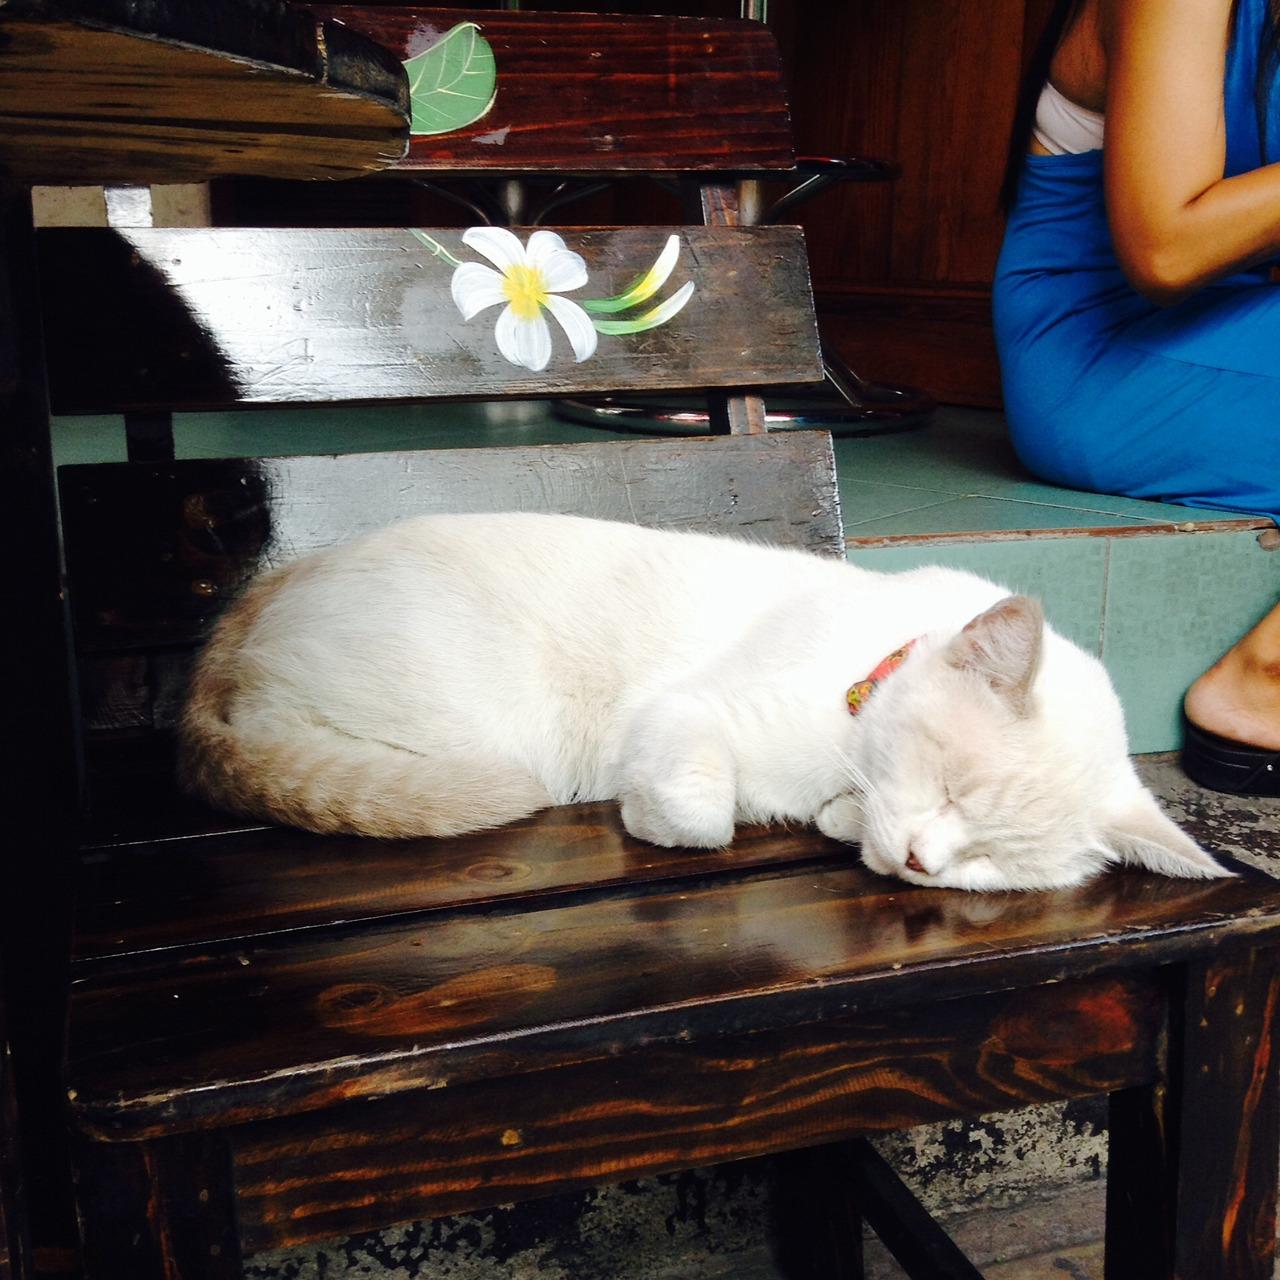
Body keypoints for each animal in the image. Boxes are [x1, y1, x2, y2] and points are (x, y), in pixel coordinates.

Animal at [179, 511, 1228, 891]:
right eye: (951, 790)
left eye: (989, 865)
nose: (921, 865)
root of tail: (259, 596)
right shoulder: (687, 716)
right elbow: (703, 814)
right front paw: (651, 815)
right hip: (469, 722)